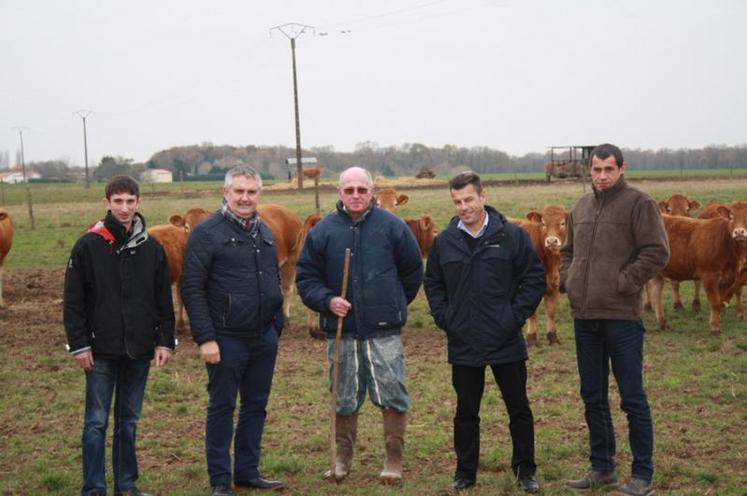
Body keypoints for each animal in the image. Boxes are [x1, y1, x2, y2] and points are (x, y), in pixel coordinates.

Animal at [512, 204, 568, 344]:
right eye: (543, 223)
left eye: (563, 223)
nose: (552, 241)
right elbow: (532, 313)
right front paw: (531, 338)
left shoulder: (555, 284)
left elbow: (551, 311)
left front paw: (552, 336)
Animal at [652, 201, 747, 334]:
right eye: (731, 217)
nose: (739, 232)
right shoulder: (709, 275)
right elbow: (715, 301)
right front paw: (715, 326)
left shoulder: (729, 276)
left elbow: (726, 297)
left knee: (656, 294)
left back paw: (663, 324)